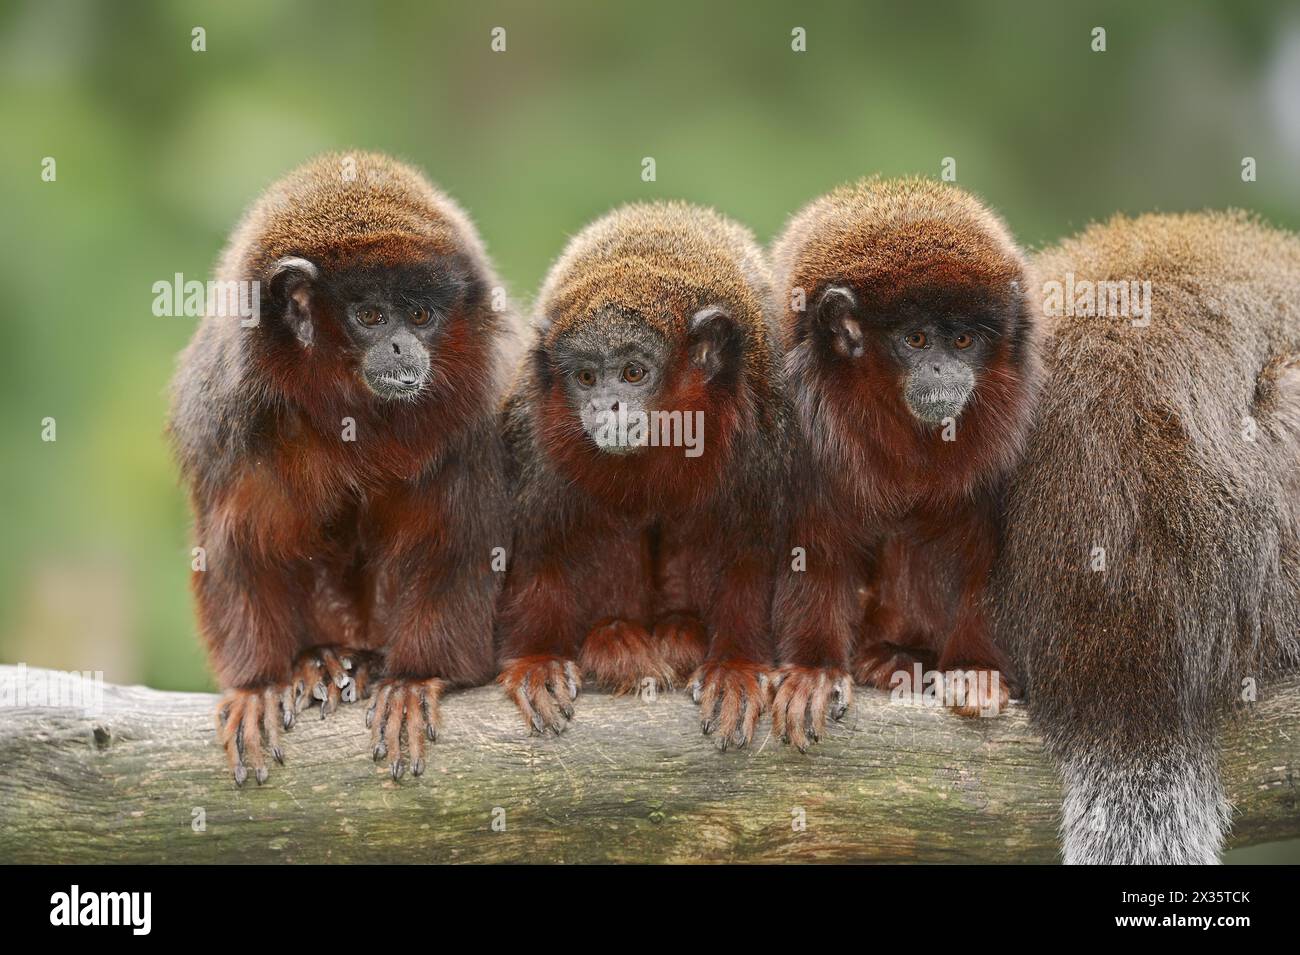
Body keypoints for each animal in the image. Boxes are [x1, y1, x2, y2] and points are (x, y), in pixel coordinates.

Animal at [169, 153, 517, 784]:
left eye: (421, 315)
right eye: (371, 316)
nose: (404, 348)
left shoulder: (476, 415)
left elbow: (460, 541)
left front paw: (414, 678)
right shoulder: (231, 417)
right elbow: (239, 546)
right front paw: (259, 684)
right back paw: (323, 660)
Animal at [493, 200, 780, 748]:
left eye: (633, 373)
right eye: (586, 378)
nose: (606, 405)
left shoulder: (766, 420)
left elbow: (754, 553)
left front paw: (735, 667)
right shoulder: (534, 430)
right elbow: (541, 545)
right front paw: (538, 661)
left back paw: (680, 631)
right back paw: (616, 638)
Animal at [764, 179, 1040, 748]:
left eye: (963, 341)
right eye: (916, 340)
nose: (943, 368)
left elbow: (986, 552)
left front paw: (977, 670)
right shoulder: (799, 429)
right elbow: (812, 544)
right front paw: (813, 670)